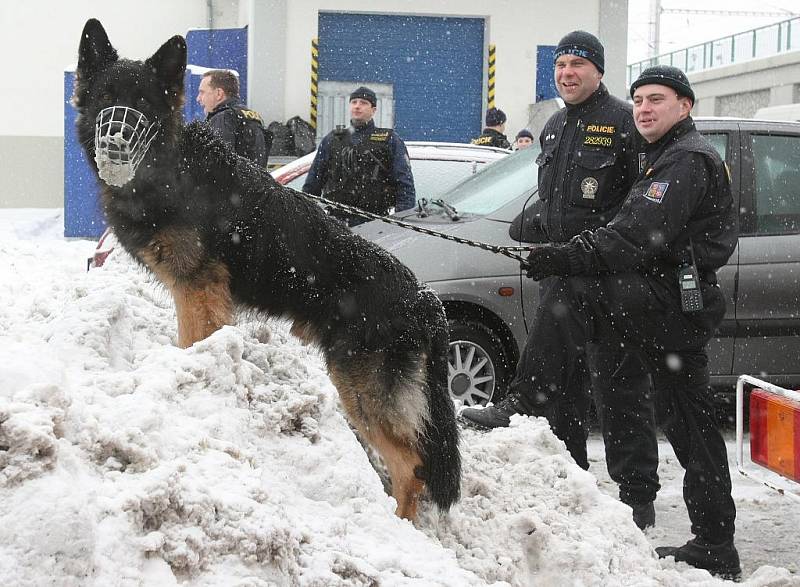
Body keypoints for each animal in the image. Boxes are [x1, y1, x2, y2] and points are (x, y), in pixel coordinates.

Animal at [76, 19, 462, 524]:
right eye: (106, 98)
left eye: (143, 104)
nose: (115, 141)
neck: (171, 170)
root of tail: (423, 298)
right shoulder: (189, 289)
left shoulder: (198, 286)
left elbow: (196, 339)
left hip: (359, 384)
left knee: (411, 463)